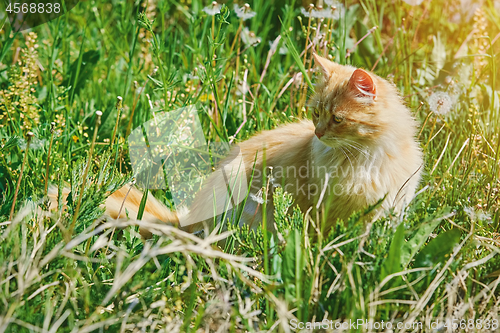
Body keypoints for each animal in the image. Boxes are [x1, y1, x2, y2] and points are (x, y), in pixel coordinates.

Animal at [48, 53, 422, 236]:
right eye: (316, 113)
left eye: (338, 119)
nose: (317, 133)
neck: (367, 158)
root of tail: (185, 221)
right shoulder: (321, 210)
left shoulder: (388, 210)